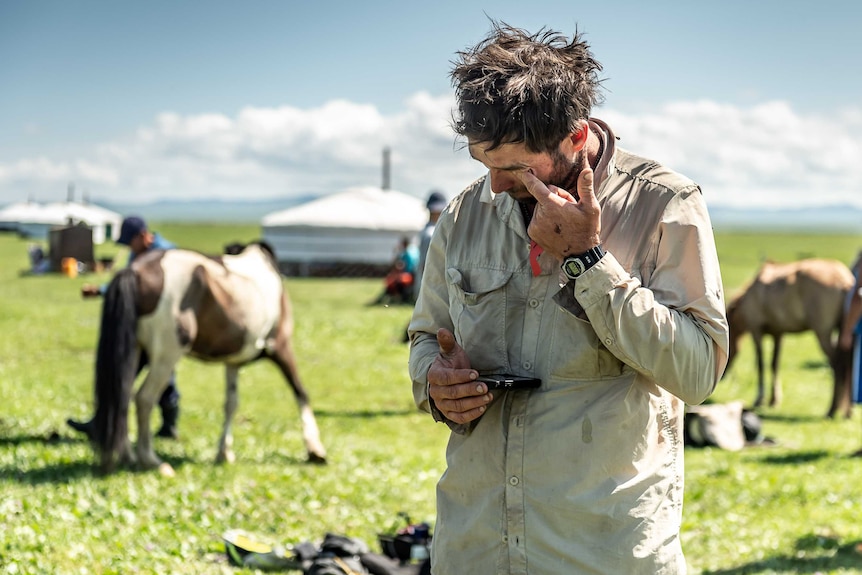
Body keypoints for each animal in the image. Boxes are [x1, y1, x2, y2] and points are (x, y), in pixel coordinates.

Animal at [91, 241, 328, 474]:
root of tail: (134, 271)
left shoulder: (233, 363)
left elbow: (231, 403)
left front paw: (225, 452)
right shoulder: (281, 348)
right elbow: (301, 393)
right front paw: (315, 449)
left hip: (135, 352)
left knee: (122, 394)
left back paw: (127, 456)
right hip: (166, 356)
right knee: (144, 398)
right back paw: (151, 460)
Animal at [724, 260, 860, 418]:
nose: (722, 377)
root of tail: (845, 280)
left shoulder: (756, 330)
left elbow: (760, 364)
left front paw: (760, 399)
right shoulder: (778, 333)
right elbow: (774, 364)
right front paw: (773, 400)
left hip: (823, 332)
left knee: (838, 364)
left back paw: (832, 410)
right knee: (849, 362)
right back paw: (847, 411)